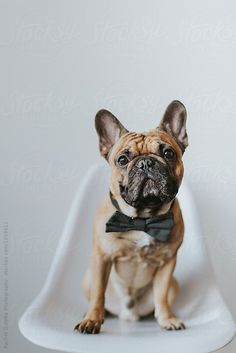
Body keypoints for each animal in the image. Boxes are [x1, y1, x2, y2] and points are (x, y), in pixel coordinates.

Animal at [74, 99, 188, 332]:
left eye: (168, 153)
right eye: (122, 159)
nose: (146, 162)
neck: (143, 218)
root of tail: (128, 315)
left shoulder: (168, 262)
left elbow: (161, 294)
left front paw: (167, 319)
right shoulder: (101, 258)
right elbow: (98, 294)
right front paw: (92, 320)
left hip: (175, 284)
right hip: (87, 277)